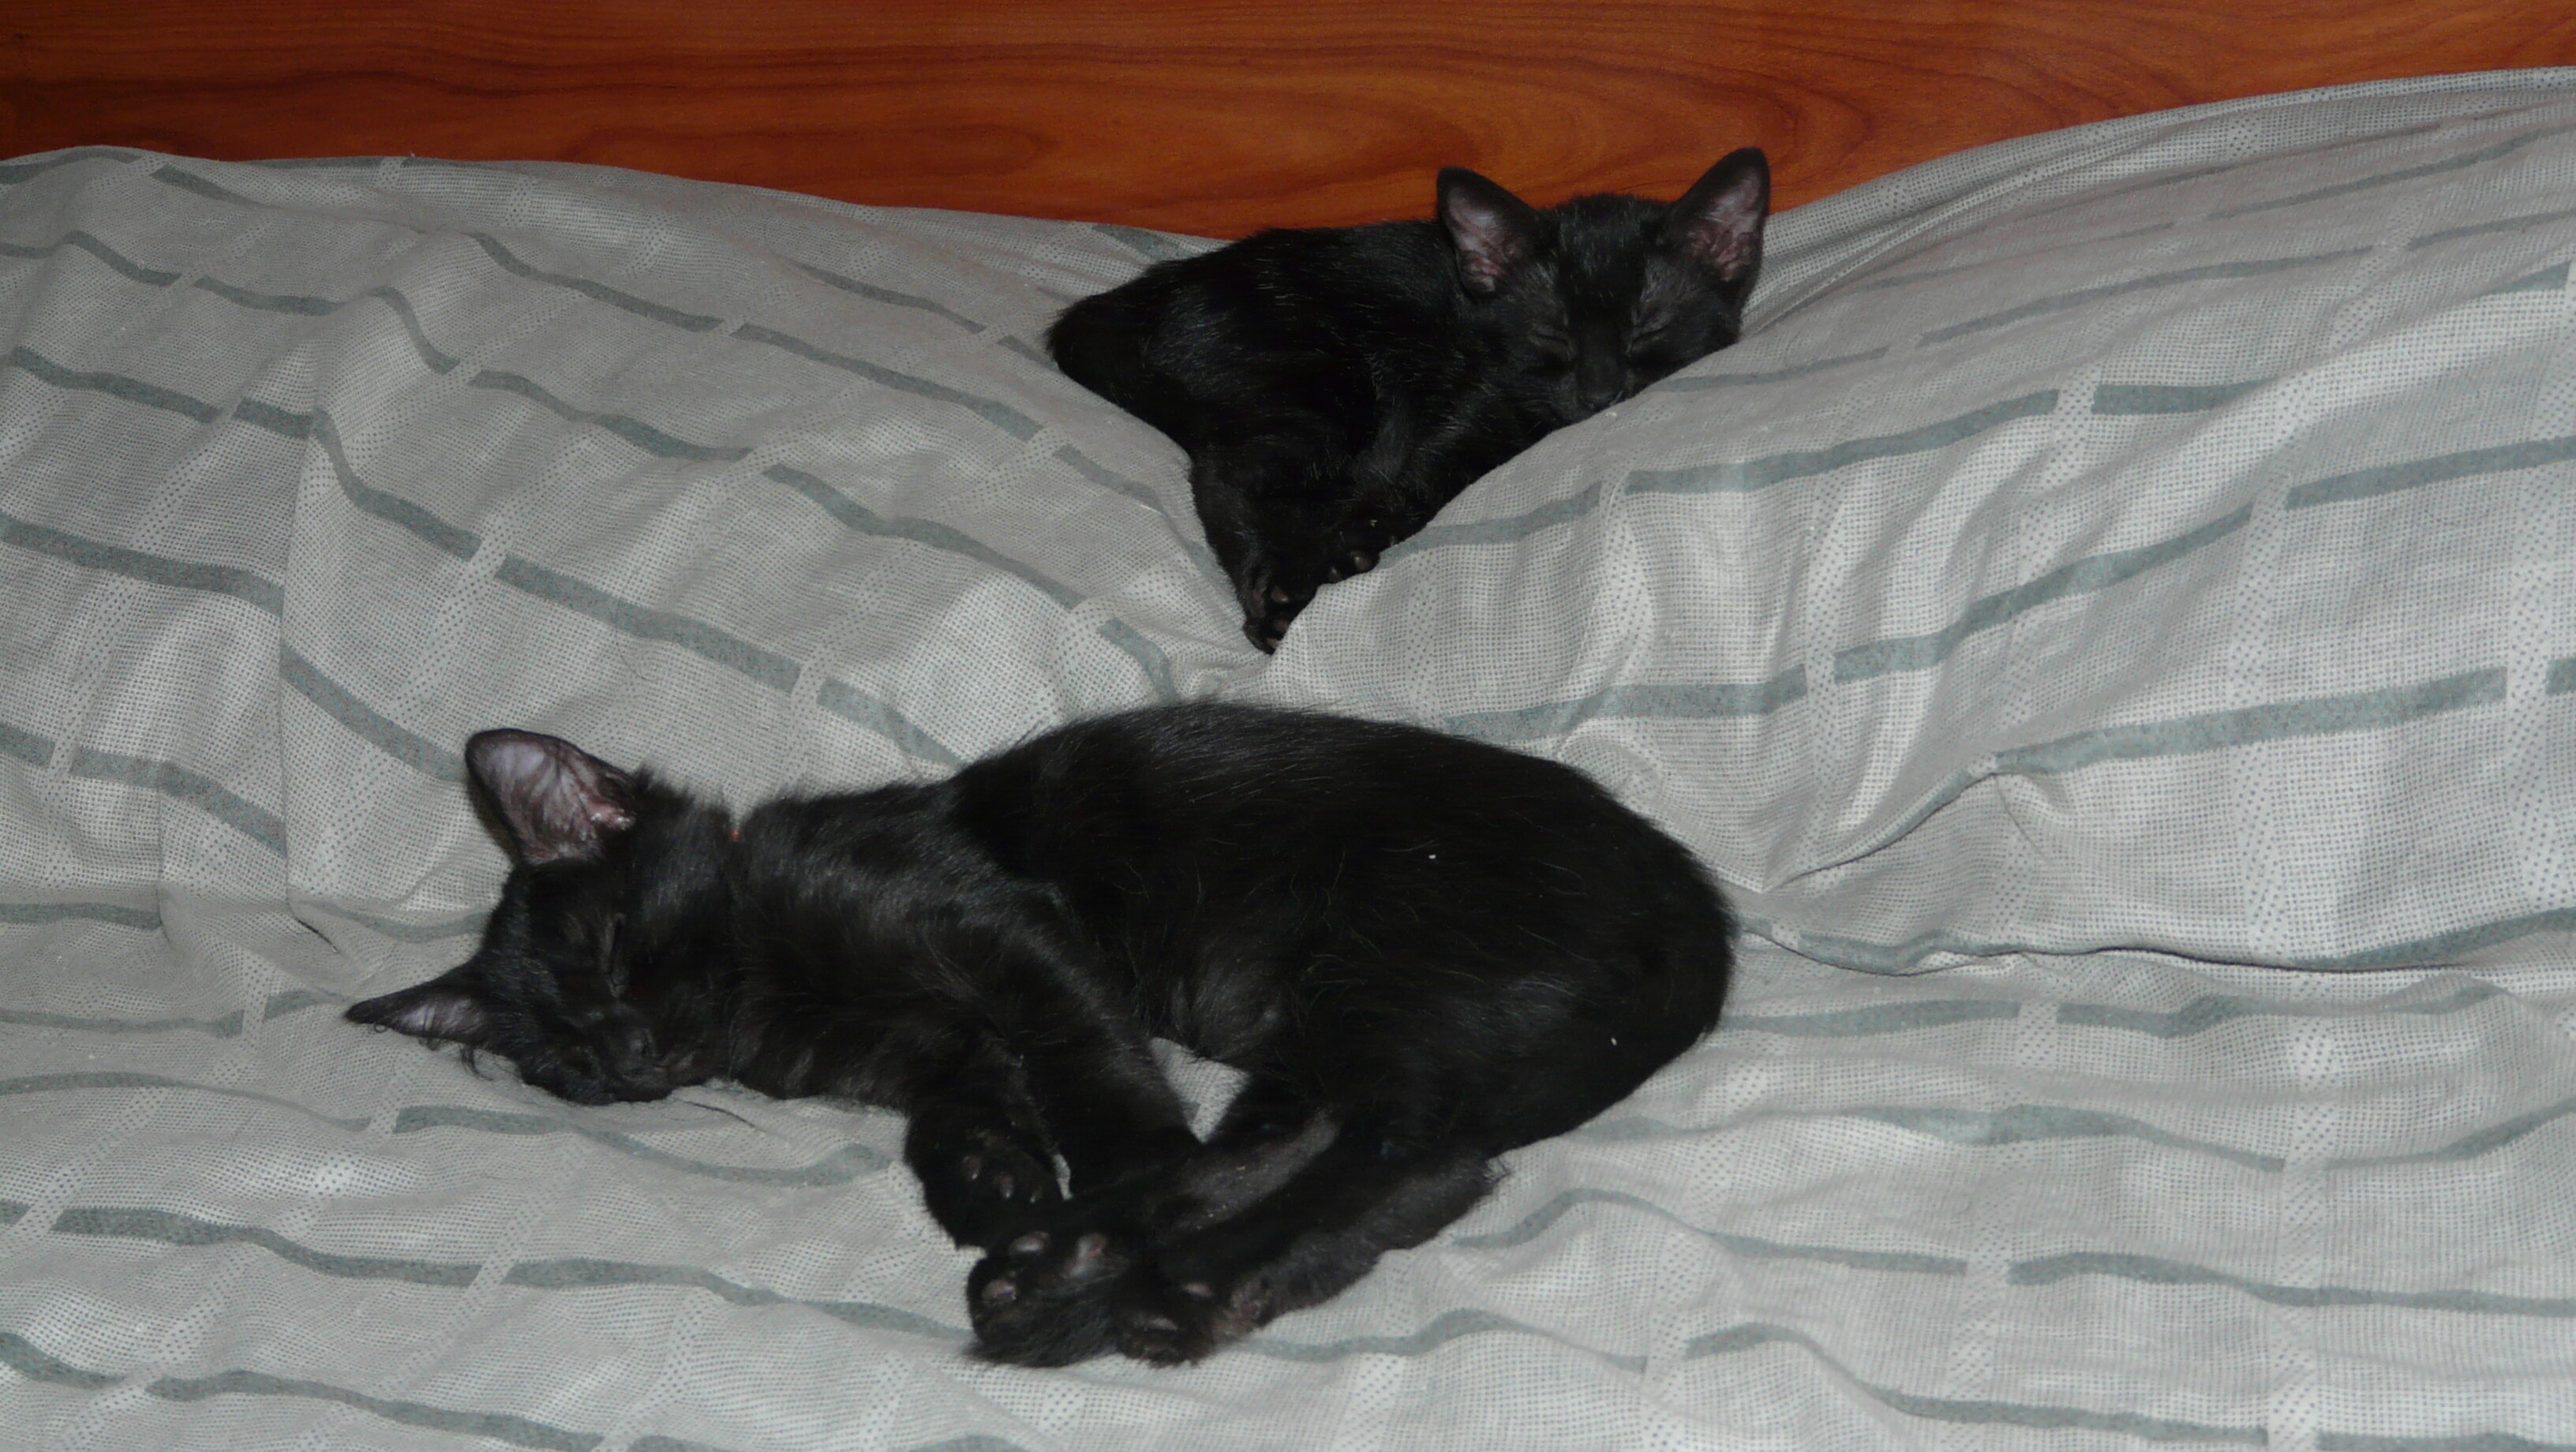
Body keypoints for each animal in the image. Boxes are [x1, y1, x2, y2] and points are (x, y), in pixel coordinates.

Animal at [345, 703, 1733, 1366]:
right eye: (566, 1066)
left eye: (612, 951)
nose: (632, 1058)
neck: (768, 991)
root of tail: (1693, 908)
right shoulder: (933, 1054)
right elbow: (957, 1115)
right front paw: (987, 1185)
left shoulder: (1003, 929)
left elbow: (1085, 1068)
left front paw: (1094, 1171)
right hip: (1340, 1024)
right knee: (1396, 1165)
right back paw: (1123, 1277)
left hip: (1384, 956)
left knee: (1390, 1147)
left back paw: (1124, 1265)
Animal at [1049, 149, 1770, 650]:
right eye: (1552, 331)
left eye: (1648, 328)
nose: (1601, 393)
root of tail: (1149, 293)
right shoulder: (1473, 402)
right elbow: (1424, 479)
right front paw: (1354, 543)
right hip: (1319, 381)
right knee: (1230, 472)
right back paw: (1278, 592)